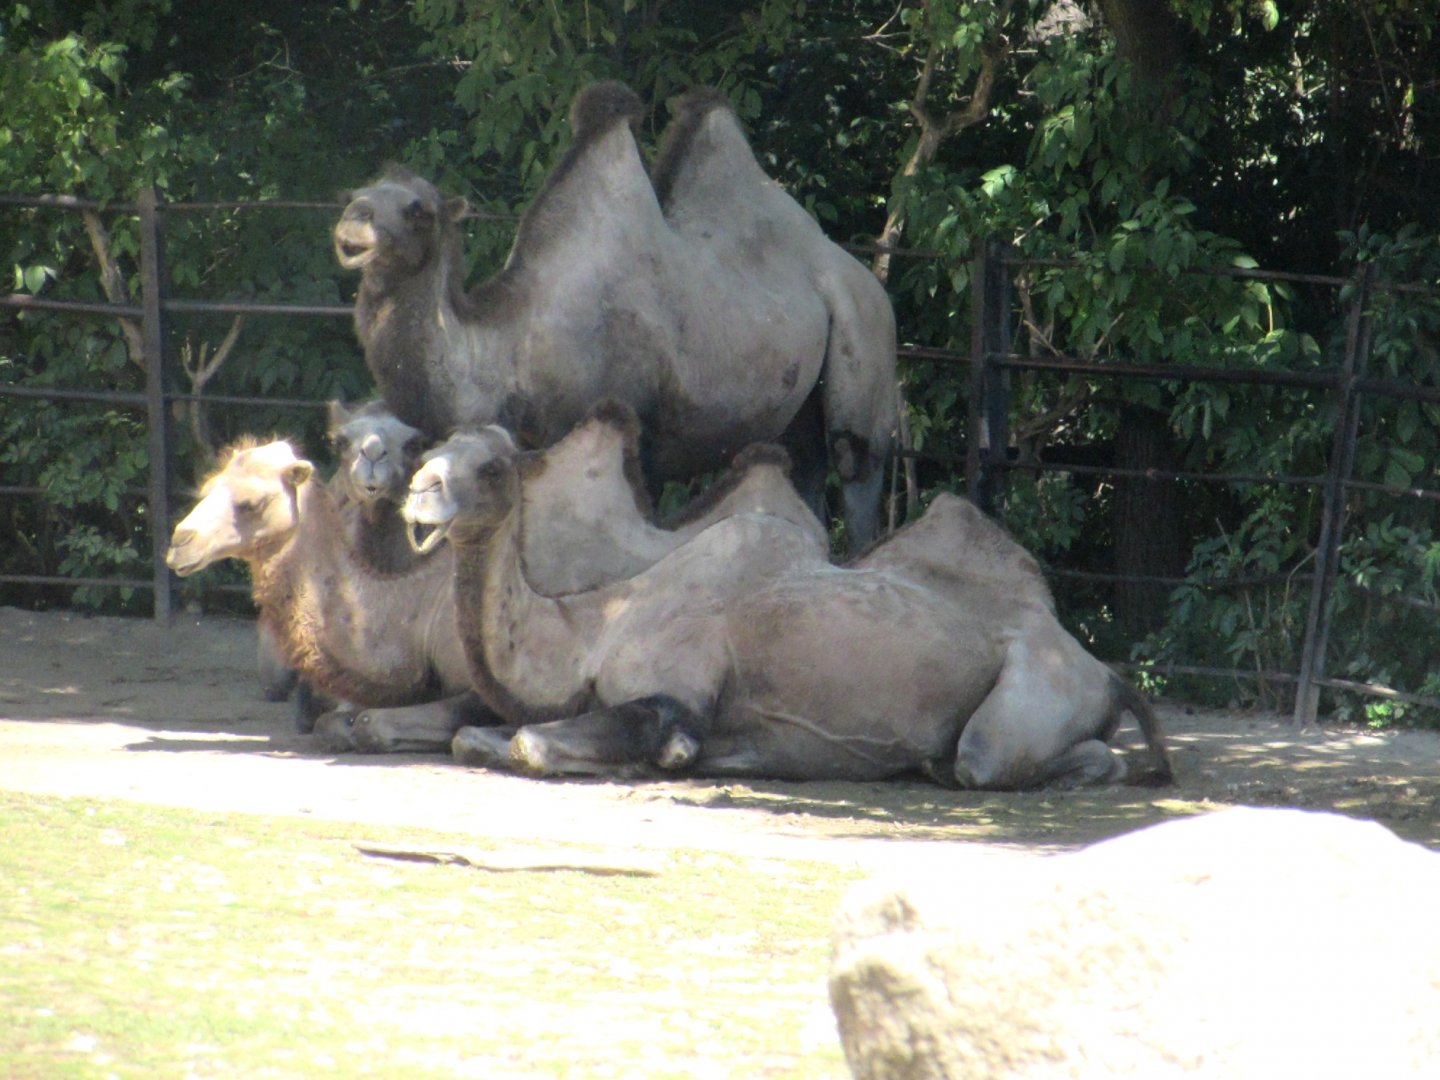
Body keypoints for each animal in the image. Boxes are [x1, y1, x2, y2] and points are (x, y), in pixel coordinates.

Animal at [333, 81, 897, 552]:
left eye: (418, 210)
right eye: (360, 193)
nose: (354, 218)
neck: (510, 347)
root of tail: (863, 275)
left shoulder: (632, 432)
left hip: (865, 334)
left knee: (856, 465)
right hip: (794, 409)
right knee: (807, 467)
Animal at [410, 419, 1171, 789]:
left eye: (493, 467)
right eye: (436, 446)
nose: (418, 488)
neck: (595, 626)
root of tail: (1104, 673)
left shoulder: (677, 697)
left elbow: (533, 742)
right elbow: (470, 736)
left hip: (1036, 688)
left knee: (987, 757)